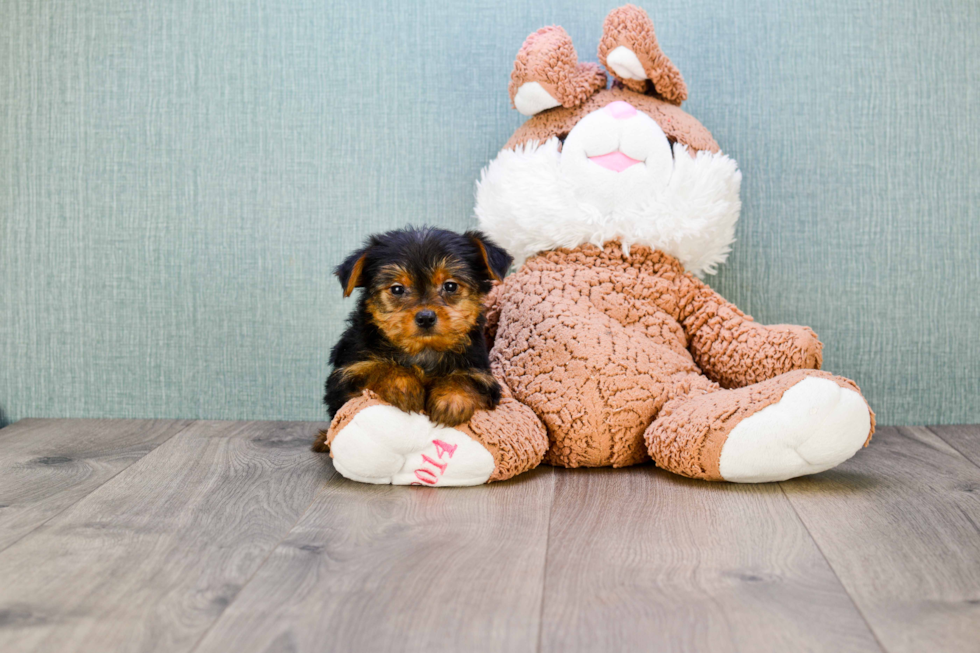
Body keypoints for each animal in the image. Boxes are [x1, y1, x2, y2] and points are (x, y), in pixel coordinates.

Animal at [326, 227, 516, 430]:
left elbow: (468, 379)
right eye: (397, 289)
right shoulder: (344, 377)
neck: (424, 350)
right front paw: (403, 385)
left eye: (450, 286)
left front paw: (451, 400)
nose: (425, 318)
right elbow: (375, 367)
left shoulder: (483, 375)